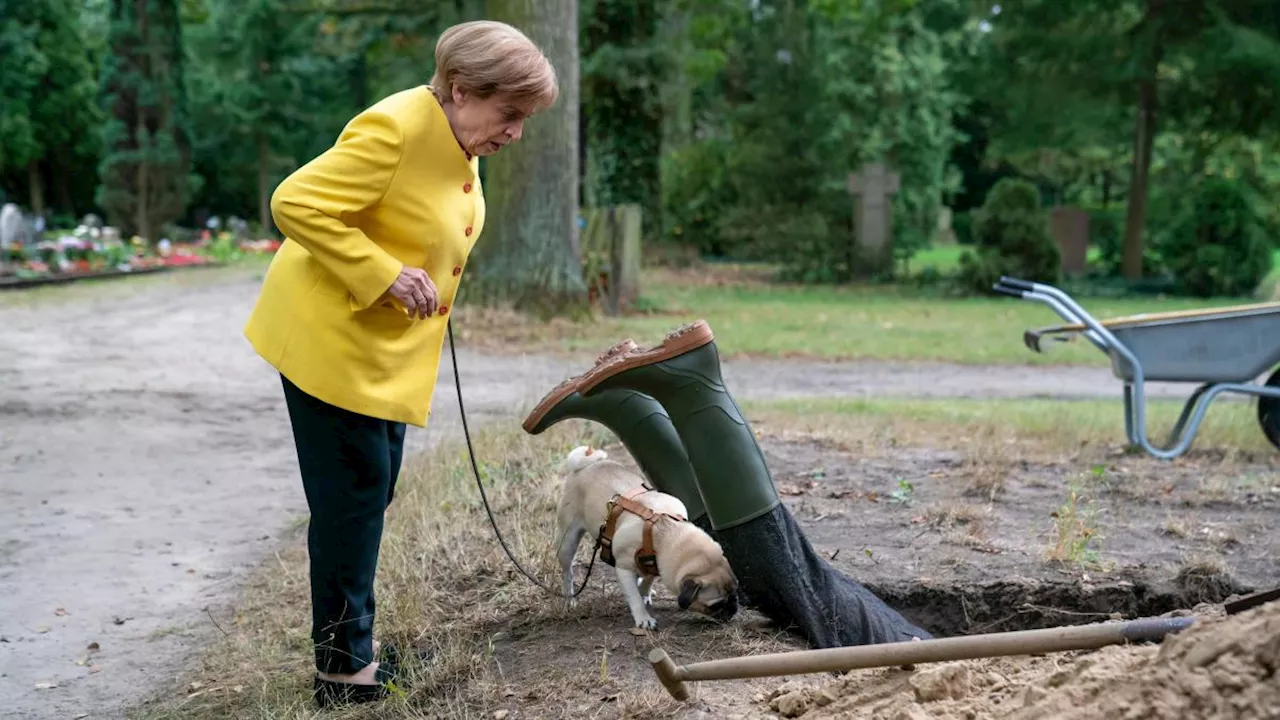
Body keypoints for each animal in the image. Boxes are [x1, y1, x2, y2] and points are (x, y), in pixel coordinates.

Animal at [552, 443, 742, 627]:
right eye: (716, 605)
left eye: (735, 594)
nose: (733, 609)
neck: (664, 529)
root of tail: (588, 465)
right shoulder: (624, 568)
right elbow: (634, 597)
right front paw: (643, 617)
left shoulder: (655, 562)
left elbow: (648, 579)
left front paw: (644, 591)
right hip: (568, 541)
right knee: (567, 572)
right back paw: (570, 599)